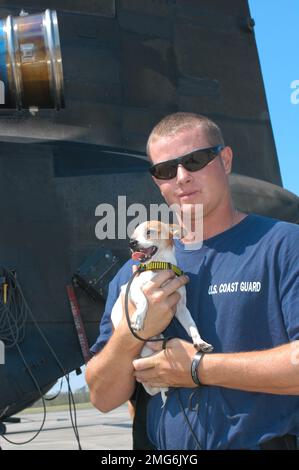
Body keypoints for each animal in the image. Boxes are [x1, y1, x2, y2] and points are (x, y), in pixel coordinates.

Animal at [110, 220, 213, 400]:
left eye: (149, 232)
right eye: (132, 235)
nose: (131, 243)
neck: (159, 266)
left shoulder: (181, 308)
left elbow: (192, 326)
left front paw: (200, 342)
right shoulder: (132, 289)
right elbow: (144, 300)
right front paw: (138, 318)